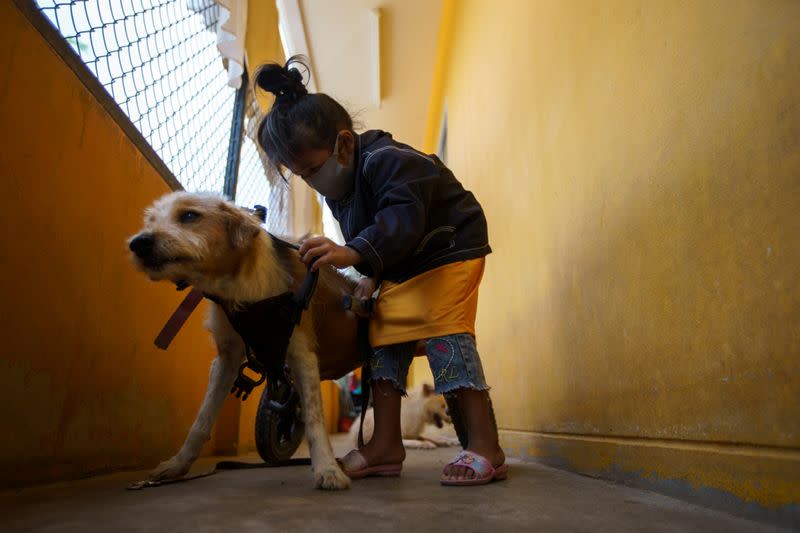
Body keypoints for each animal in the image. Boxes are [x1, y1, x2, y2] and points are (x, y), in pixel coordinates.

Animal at [128, 192, 360, 490]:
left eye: (189, 215)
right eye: (151, 221)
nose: (138, 244)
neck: (242, 286)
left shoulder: (302, 353)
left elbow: (314, 416)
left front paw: (328, 469)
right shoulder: (226, 359)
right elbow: (202, 420)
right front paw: (177, 465)